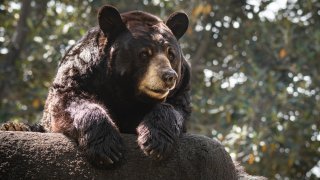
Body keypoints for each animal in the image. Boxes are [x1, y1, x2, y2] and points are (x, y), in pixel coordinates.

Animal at [1, 4, 190, 169]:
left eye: (171, 54)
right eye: (144, 53)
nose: (169, 76)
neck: (126, 91)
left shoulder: (181, 87)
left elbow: (174, 109)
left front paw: (155, 142)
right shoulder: (82, 72)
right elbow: (70, 100)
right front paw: (108, 148)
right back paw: (14, 127)